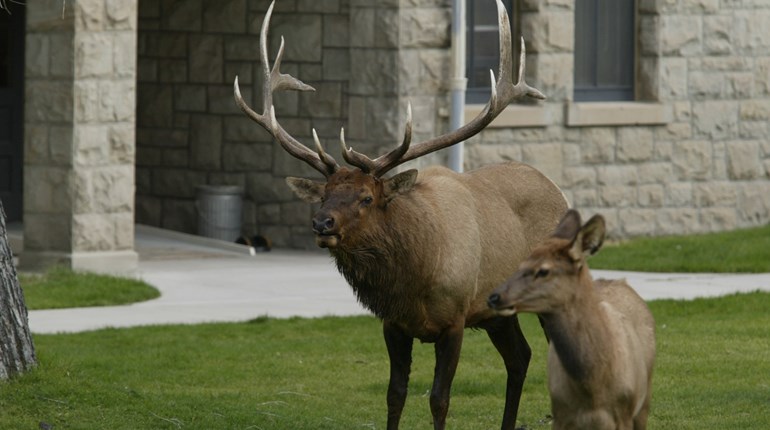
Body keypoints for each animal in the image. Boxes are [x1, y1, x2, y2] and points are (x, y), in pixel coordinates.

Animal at [234, 1, 569, 428]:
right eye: (324, 194)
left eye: (365, 197)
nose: (322, 223)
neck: (414, 278)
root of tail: (558, 191)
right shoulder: (393, 324)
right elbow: (395, 395)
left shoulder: (455, 319)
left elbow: (439, 399)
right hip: (498, 311)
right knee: (520, 358)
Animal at [487, 210, 656, 430]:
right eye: (520, 264)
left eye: (543, 270)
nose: (494, 297)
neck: (592, 388)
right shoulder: (560, 413)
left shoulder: (624, 413)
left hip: (643, 400)